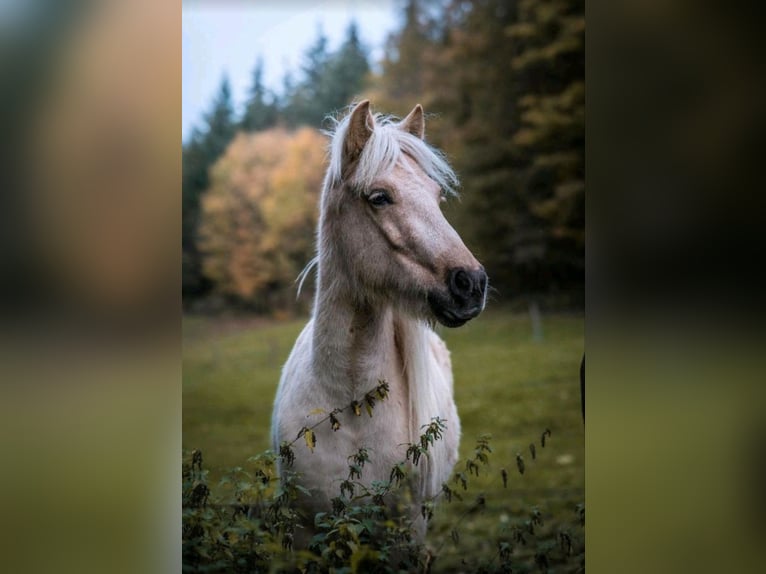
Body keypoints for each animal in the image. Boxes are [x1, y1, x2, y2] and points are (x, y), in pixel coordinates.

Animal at [272, 100, 486, 544]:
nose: (472, 283)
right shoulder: (304, 535)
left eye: (437, 196)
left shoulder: (407, 534)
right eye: (379, 197)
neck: (349, 407)